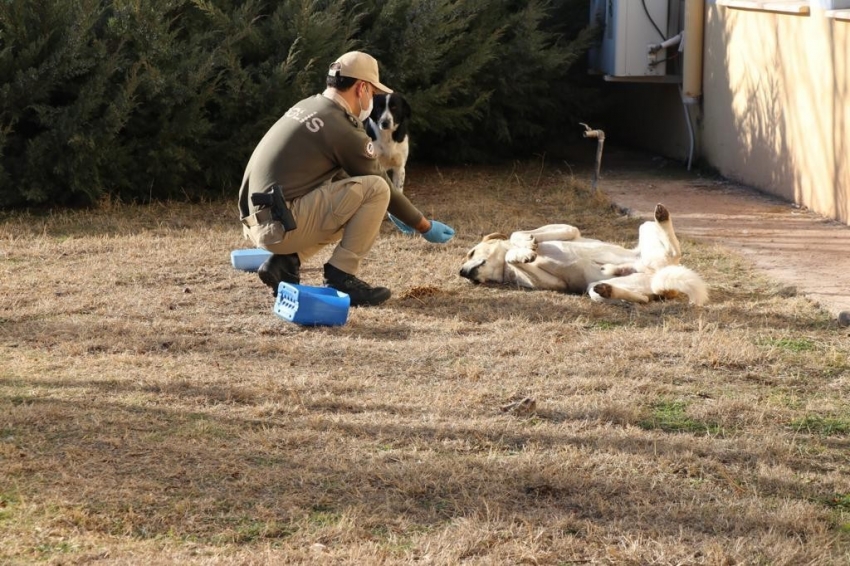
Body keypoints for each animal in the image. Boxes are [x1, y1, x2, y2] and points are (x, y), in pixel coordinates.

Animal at [460, 205, 704, 306]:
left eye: (471, 253)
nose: (462, 272)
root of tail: (658, 274)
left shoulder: (569, 230)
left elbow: (516, 235)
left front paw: (525, 248)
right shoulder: (556, 283)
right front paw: (522, 254)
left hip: (645, 229)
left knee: (674, 250)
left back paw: (662, 216)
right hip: (597, 288)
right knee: (641, 298)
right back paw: (609, 288)